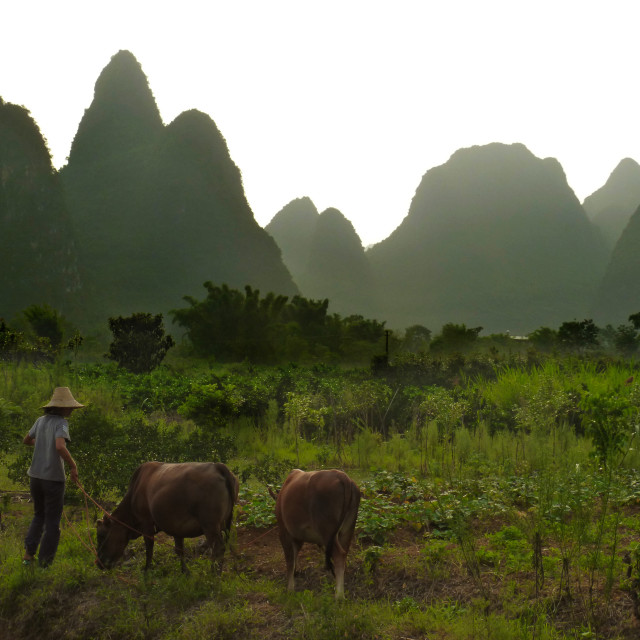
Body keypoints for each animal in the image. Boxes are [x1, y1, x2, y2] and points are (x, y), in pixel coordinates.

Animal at [94, 462, 236, 572]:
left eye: (101, 536)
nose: (98, 563)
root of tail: (217, 465)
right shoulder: (177, 528)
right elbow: (179, 550)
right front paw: (185, 572)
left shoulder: (146, 523)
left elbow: (149, 548)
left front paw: (147, 571)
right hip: (226, 522)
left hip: (210, 525)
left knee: (218, 548)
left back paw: (213, 574)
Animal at [274, 468, 360, 596]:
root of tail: (342, 476)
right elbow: (295, 554)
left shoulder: (284, 531)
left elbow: (289, 559)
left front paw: (290, 589)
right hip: (346, 530)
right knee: (344, 553)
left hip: (327, 531)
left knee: (338, 555)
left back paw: (339, 595)